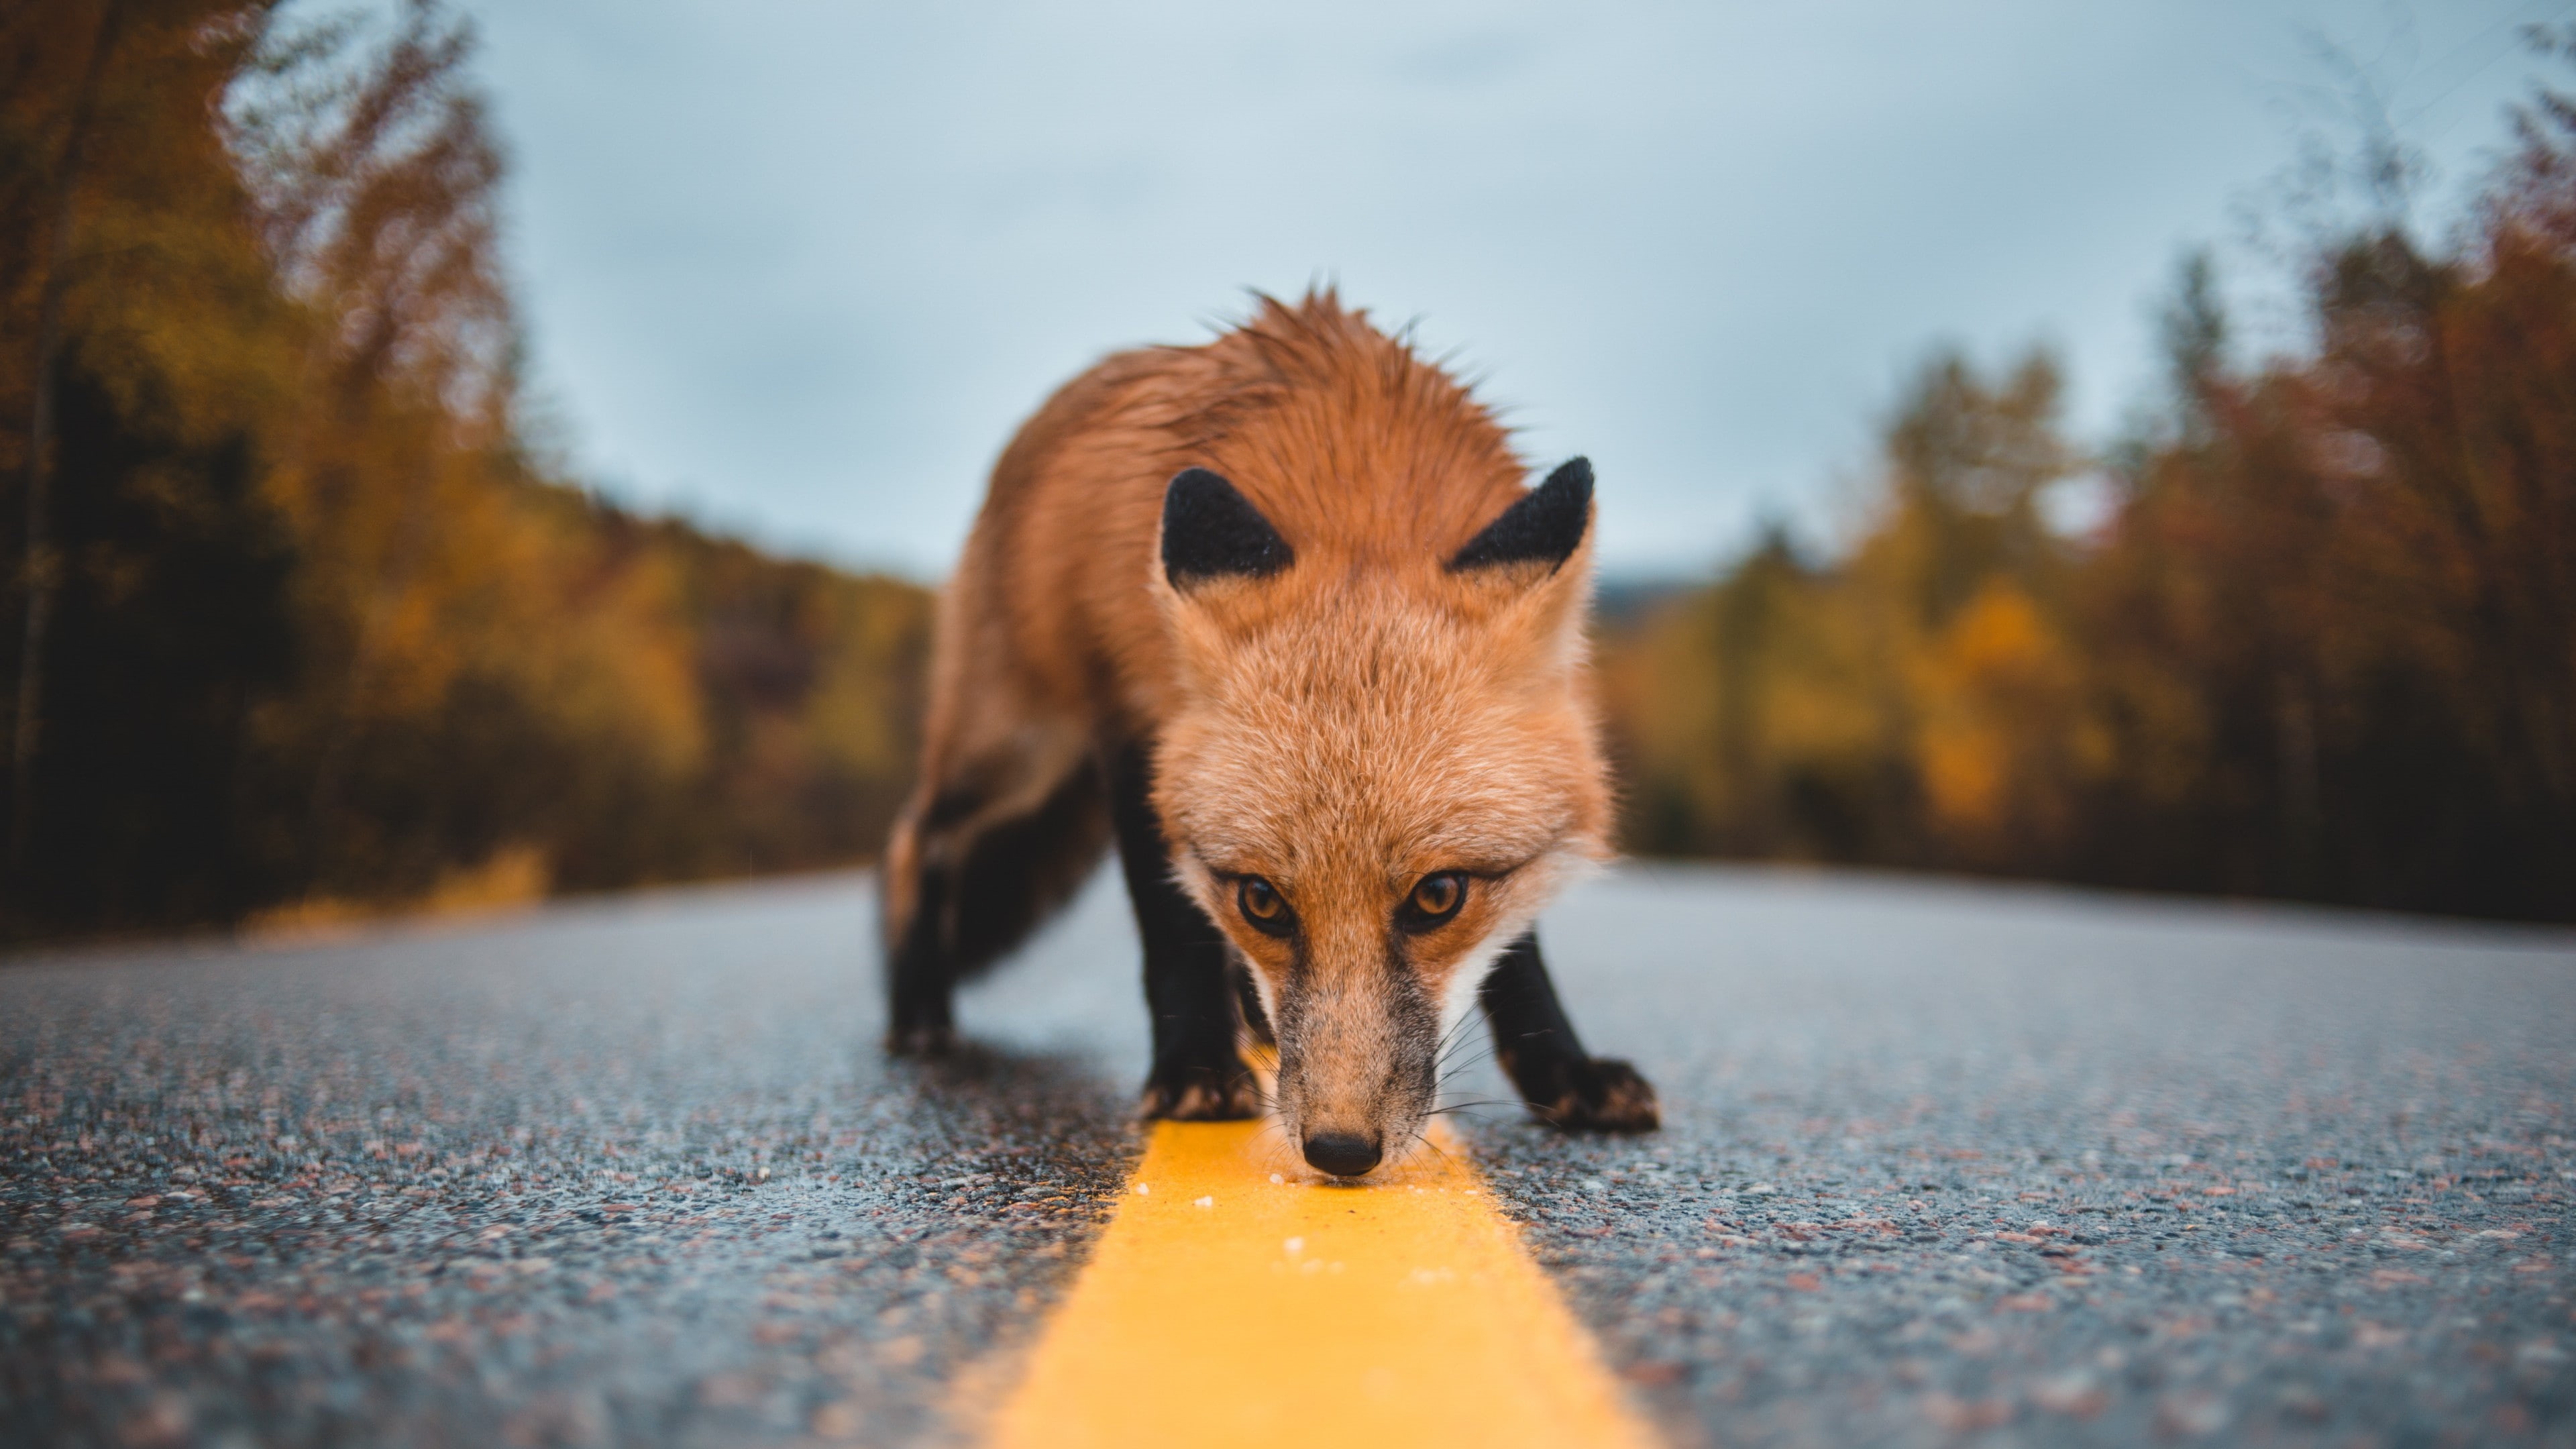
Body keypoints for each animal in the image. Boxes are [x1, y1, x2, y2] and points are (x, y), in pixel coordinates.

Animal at [880, 290, 1658, 1179]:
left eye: (1439, 897)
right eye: (1262, 901)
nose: (1341, 1150)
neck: (1358, 485)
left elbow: (1519, 952)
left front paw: (1563, 1070)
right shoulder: (1135, 729)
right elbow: (1172, 924)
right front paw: (1192, 1069)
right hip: (1017, 747)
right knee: (916, 836)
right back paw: (917, 1008)